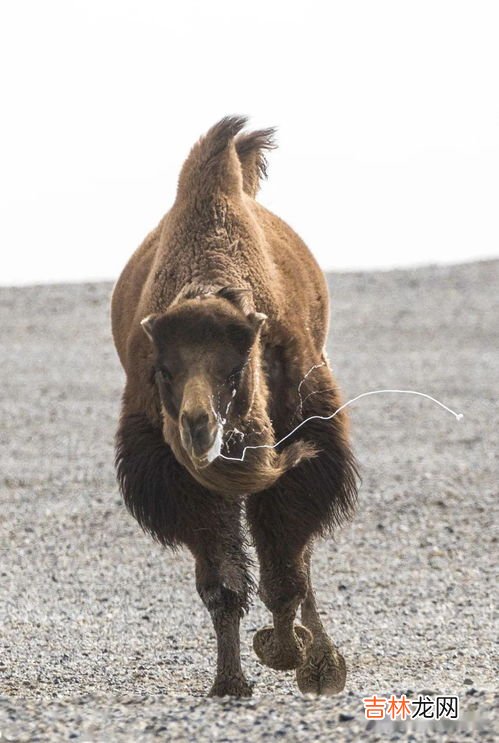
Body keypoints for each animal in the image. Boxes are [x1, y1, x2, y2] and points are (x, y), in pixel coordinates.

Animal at [111, 116, 358, 696]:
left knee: (298, 558)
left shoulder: (305, 440)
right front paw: (230, 682)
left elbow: (286, 566)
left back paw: (320, 662)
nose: (199, 427)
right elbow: (221, 579)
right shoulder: (175, 473)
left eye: (236, 369)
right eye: (164, 370)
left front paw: (294, 656)